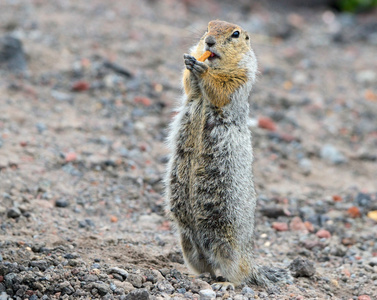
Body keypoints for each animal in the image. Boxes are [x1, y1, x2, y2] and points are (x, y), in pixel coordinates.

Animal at [164, 20, 290, 290]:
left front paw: (202, 70)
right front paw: (189, 63)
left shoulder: (242, 75)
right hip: (187, 242)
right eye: (207, 27)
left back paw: (227, 284)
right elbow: (188, 85)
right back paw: (198, 276)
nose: (209, 41)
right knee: (207, 267)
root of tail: (251, 260)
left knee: (239, 275)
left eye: (235, 34)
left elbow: (222, 88)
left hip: (228, 247)